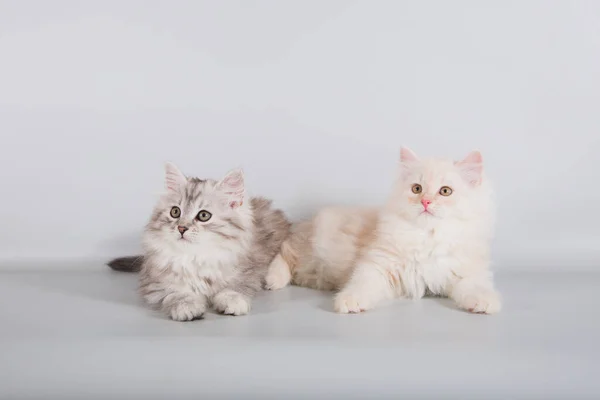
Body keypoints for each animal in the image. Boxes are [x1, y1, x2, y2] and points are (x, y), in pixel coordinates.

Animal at [108, 162, 290, 322]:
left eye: (203, 215)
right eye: (175, 212)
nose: (181, 228)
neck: (195, 256)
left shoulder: (247, 271)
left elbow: (236, 286)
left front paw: (232, 300)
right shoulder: (154, 282)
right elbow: (175, 292)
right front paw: (186, 306)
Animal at [268, 148, 502, 314]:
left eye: (445, 191)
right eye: (417, 189)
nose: (425, 201)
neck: (427, 238)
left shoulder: (466, 273)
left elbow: (476, 287)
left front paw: (485, 302)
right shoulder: (376, 265)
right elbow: (362, 284)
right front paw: (349, 300)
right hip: (311, 246)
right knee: (285, 251)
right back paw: (272, 279)